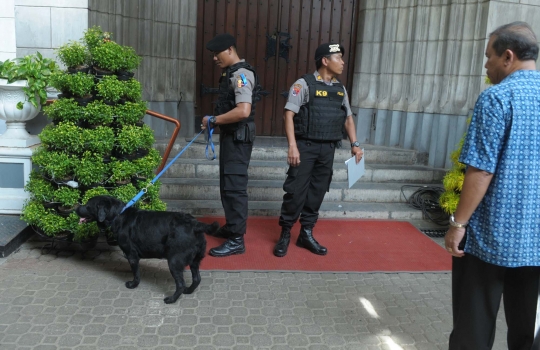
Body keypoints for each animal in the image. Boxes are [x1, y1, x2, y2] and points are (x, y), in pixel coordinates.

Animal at [76, 196, 219, 304]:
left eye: (87, 205)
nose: (76, 207)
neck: (118, 215)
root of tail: (196, 224)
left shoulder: (132, 255)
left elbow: (136, 273)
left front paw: (133, 284)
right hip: (195, 259)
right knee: (197, 279)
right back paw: (188, 291)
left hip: (174, 261)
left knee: (180, 283)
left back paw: (171, 299)